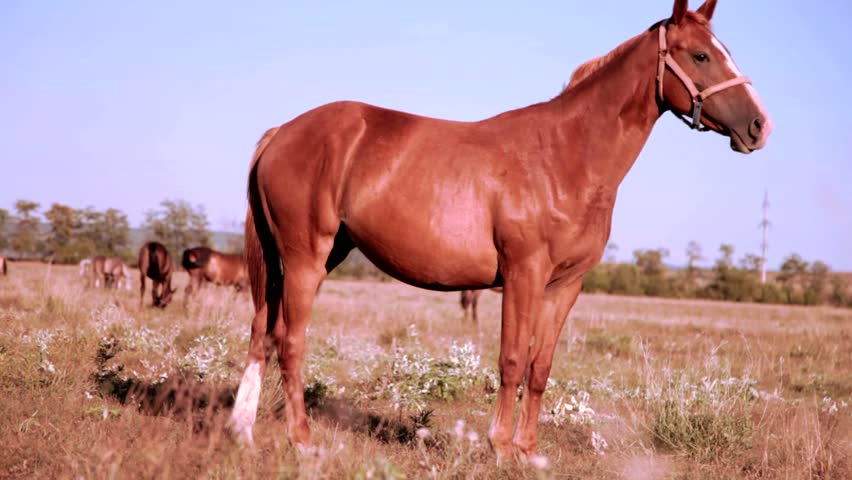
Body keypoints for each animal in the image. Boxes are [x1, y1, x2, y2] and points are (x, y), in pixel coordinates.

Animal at [229, 0, 771, 461]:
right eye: (700, 55)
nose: (759, 126)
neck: (565, 157)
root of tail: (283, 132)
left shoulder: (564, 286)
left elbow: (540, 367)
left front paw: (529, 452)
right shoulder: (522, 274)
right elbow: (511, 360)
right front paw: (501, 448)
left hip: (298, 259)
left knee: (261, 332)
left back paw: (244, 430)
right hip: (305, 258)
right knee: (290, 341)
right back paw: (302, 441)